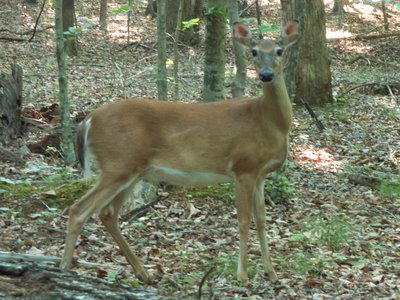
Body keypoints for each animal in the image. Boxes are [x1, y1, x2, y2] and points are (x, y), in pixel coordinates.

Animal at [59, 21, 296, 284]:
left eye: (279, 50)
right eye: (254, 51)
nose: (266, 75)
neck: (267, 121)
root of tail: (87, 120)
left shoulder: (260, 174)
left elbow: (262, 219)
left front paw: (271, 272)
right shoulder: (243, 167)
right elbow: (244, 220)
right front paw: (242, 275)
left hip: (132, 171)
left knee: (108, 213)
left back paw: (143, 272)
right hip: (117, 165)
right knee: (79, 209)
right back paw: (64, 268)